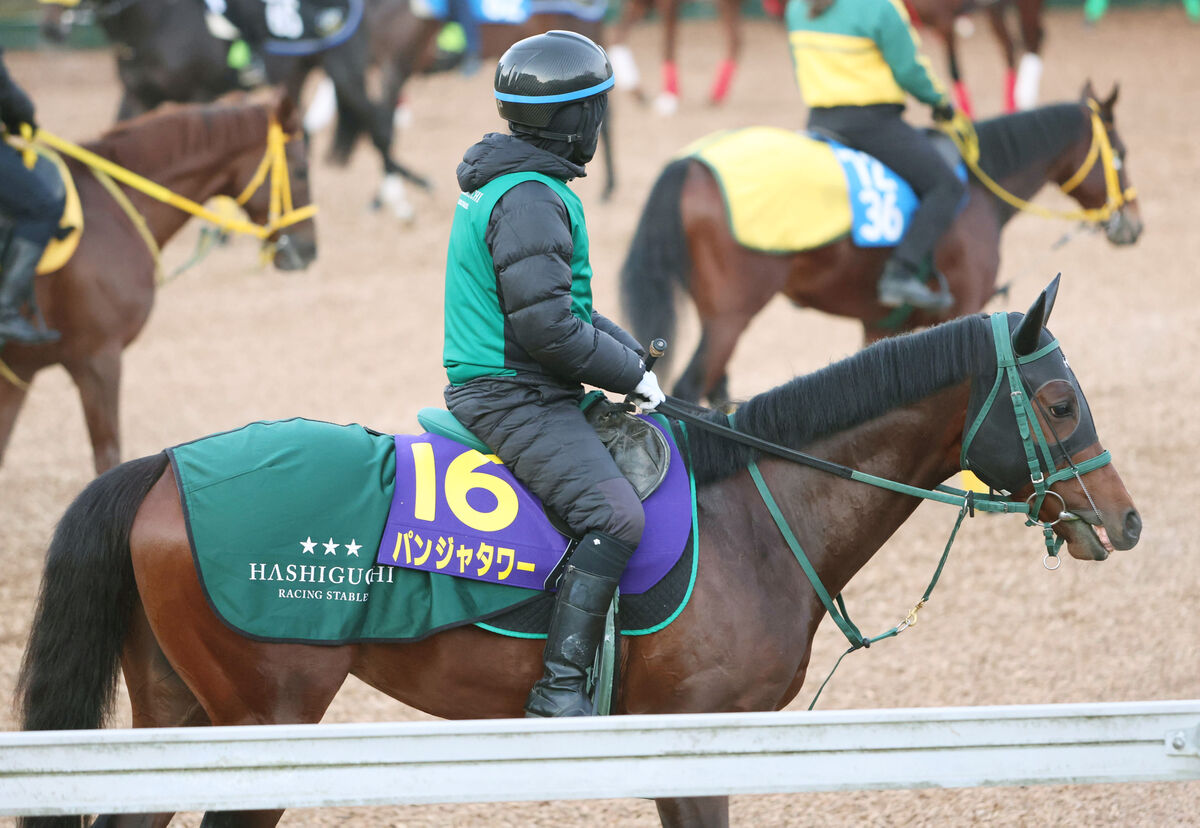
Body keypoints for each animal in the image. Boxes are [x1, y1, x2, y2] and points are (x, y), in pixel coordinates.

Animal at [0, 90, 316, 475]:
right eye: (301, 171)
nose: (309, 249)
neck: (113, 211)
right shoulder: (98, 360)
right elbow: (108, 457)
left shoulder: (19, 370)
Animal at [16, 278, 1142, 825]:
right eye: (1058, 401)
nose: (1125, 521)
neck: (755, 515)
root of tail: (165, 465)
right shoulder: (694, 745)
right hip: (263, 725)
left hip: (180, 715)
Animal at [39, 0, 427, 219]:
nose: (52, 28)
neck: (157, 20)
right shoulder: (137, 97)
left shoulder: (202, 93)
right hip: (296, 77)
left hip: (344, 68)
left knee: (378, 122)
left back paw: (400, 201)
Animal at [624, 84, 1137, 405]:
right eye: (1120, 153)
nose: (1132, 223)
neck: (975, 187)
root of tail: (691, 163)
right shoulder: (968, 306)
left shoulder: (877, 325)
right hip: (730, 317)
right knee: (692, 385)